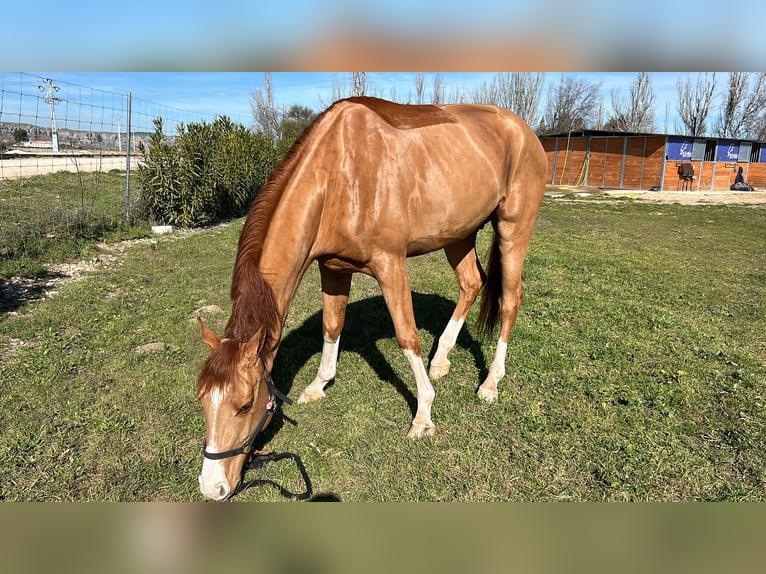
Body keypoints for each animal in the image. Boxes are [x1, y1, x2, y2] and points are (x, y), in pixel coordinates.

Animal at [196, 97, 544, 502]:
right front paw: (319, 384)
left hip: (513, 227)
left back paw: (490, 383)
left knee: (509, 298)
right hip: (458, 233)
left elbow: (407, 336)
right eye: (202, 400)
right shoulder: (332, 268)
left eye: (245, 405)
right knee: (471, 285)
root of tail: (522, 130)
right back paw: (441, 359)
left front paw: (423, 416)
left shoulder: (390, 264)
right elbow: (332, 326)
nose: (212, 487)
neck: (337, 175)